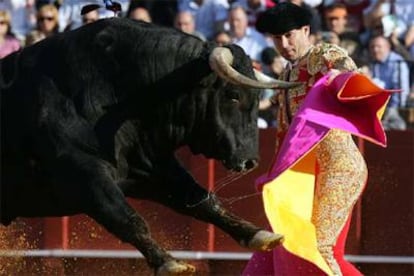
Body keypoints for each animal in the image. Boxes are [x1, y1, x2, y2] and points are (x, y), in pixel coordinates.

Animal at [0, 18, 294, 274]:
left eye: (257, 98)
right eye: (233, 95)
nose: (250, 161)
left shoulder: (151, 167)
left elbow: (203, 201)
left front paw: (260, 234)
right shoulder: (83, 172)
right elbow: (125, 217)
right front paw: (170, 263)